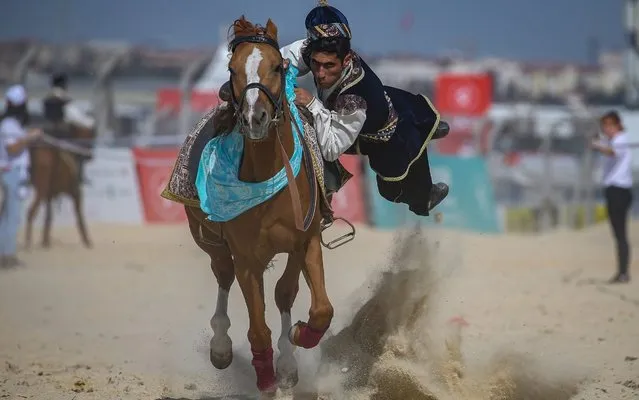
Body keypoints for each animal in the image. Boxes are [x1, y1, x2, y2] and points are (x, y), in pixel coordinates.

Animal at [184, 18, 336, 394]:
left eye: (278, 66)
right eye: (231, 69)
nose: (256, 118)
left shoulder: (304, 240)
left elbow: (311, 305)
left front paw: (295, 343)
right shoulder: (247, 258)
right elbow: (258, 328)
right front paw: (267, 375)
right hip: (209, 239)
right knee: (222, 274)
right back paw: (221, 346)